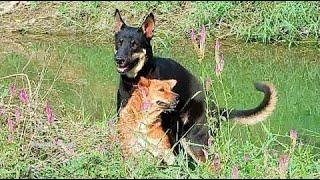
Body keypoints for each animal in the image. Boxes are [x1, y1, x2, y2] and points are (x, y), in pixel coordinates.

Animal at [114, 9, 276, 165]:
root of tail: (215, 108)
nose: (118, 59)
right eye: (119, 43)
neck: (135, 81)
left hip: (194, 140)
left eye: (134, 44)